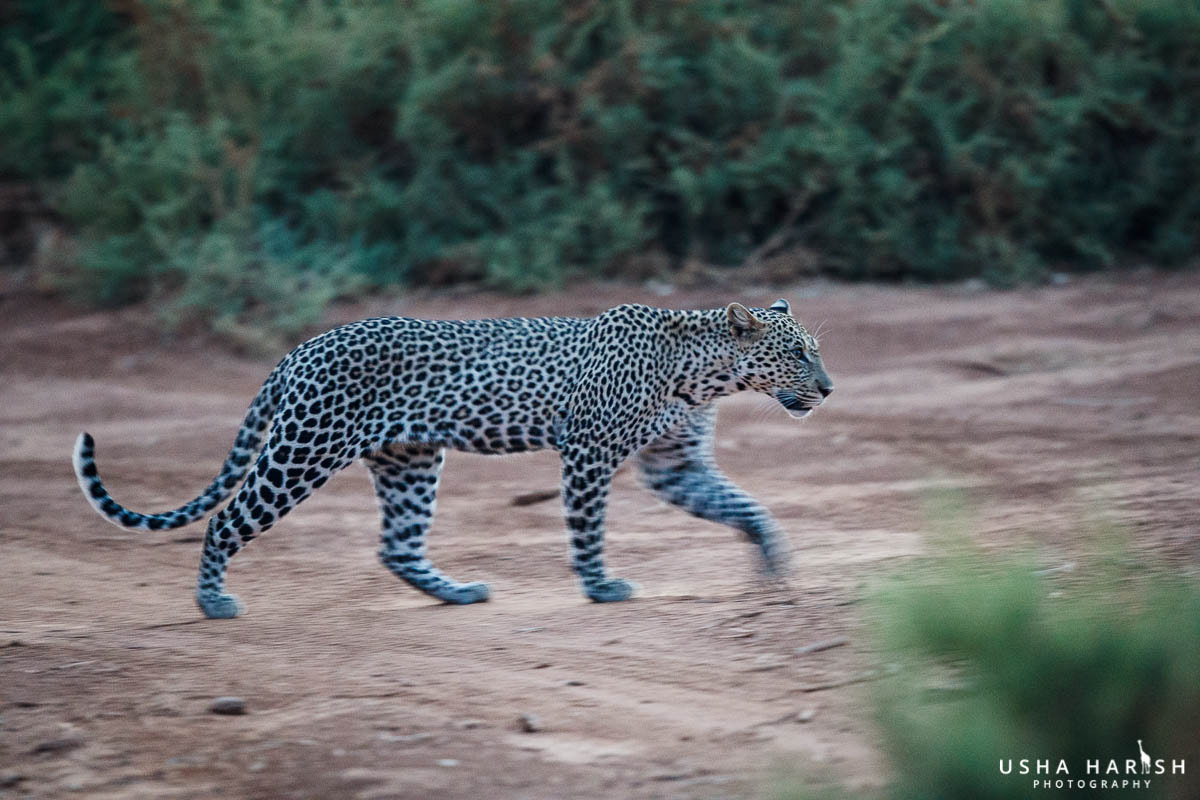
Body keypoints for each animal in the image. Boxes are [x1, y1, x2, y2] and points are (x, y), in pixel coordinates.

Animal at [70, 296, 830, 618]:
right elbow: (587, 529)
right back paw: (213, 600)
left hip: (409, 461)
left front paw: (773, 563)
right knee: (227, 519)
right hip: (302, 451)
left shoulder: (675, 464)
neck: (705, 372)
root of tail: (300, 349)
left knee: (397, 546)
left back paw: (458, 592)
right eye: (798, 352)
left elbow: (743, 506)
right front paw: (599, 586)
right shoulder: (587, 453)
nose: (827, 388)